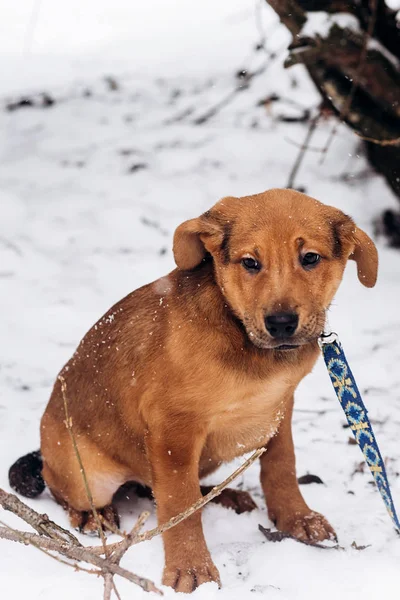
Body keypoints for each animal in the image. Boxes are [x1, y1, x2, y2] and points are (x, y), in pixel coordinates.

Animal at [10, 190, 378, 592]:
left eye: (310, 258)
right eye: (250, 262)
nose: (281, 323)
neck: (244, 338)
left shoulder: (281, 406)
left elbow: (281, 465)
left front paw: (297, 517)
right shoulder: (173, 429)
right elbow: (179, 505)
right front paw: (191, 568)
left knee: (160, 488)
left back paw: (227, 495)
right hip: (87, 476)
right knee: (71, 488)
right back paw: (94, 514)